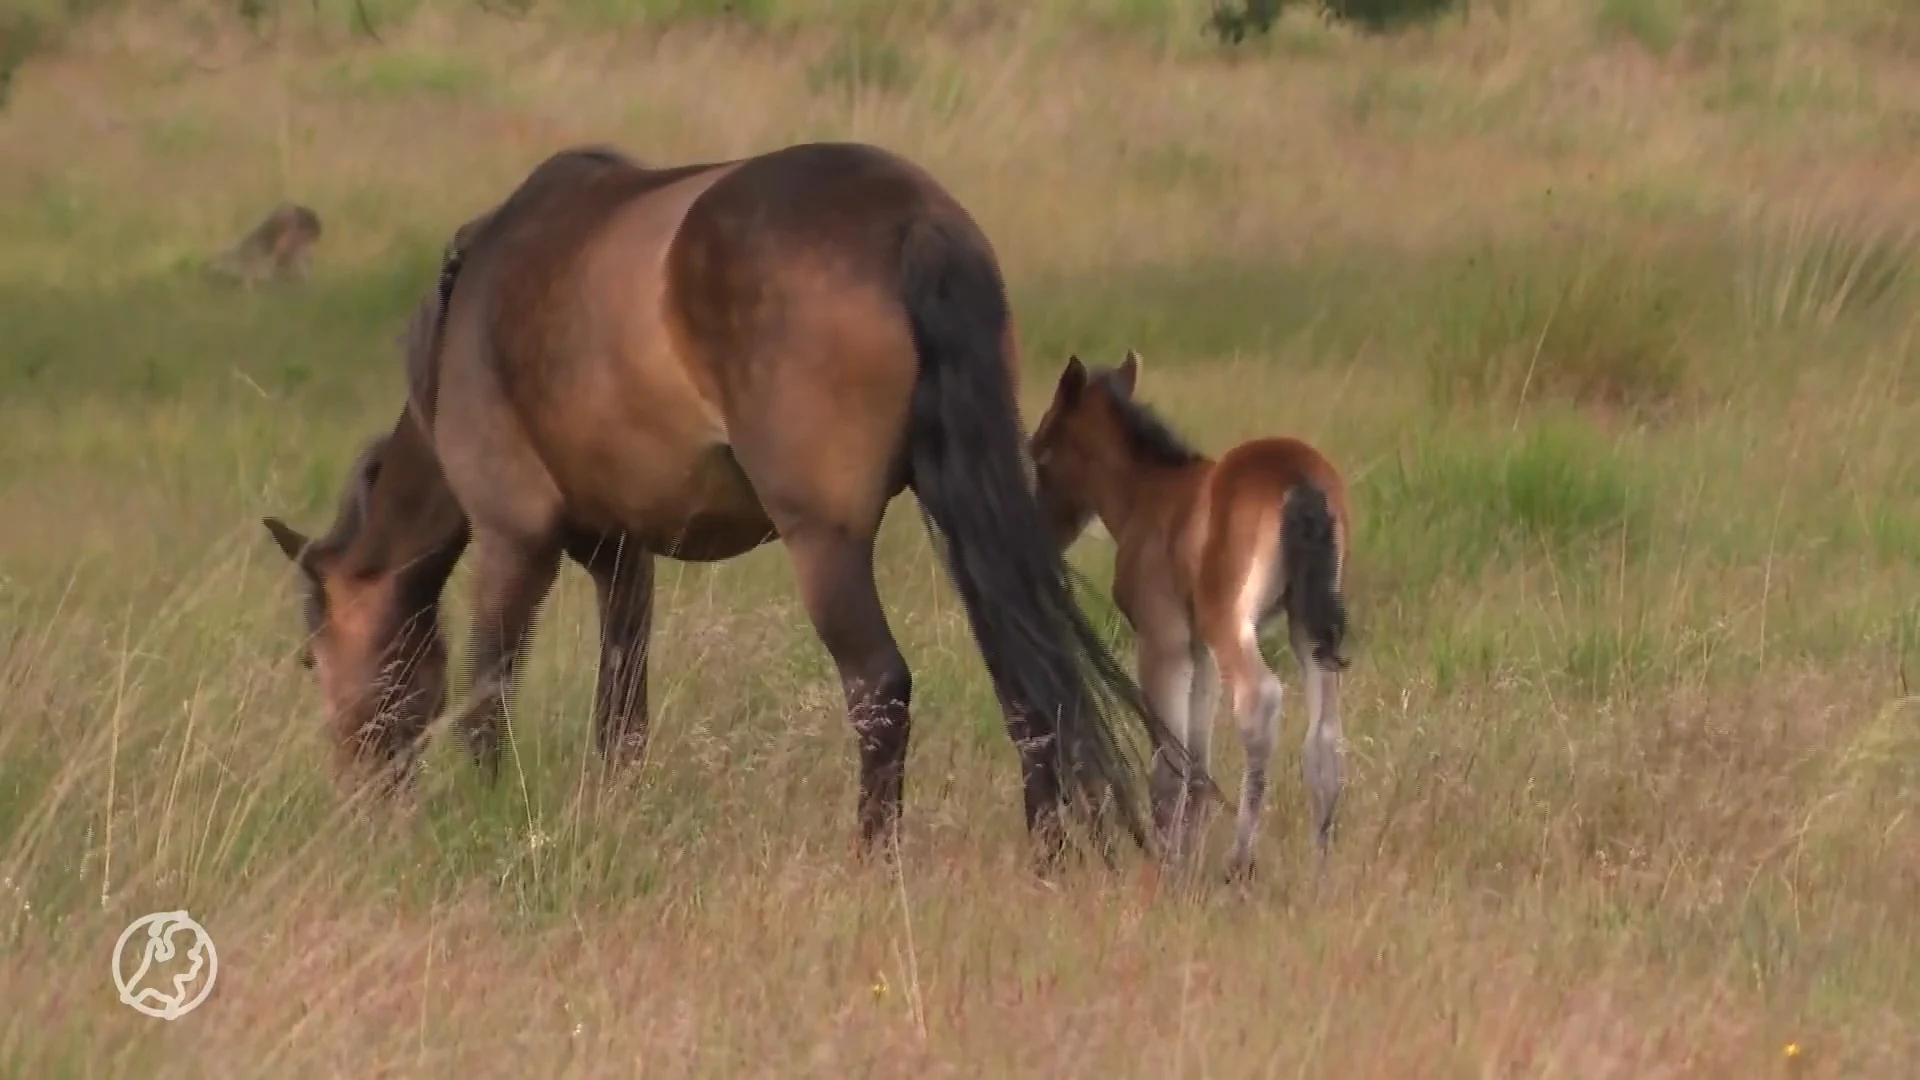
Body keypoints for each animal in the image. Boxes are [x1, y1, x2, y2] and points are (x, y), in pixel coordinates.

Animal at [259, 141, 1211, 870]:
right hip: (967, 514)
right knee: (1025, 673)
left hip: (825, 544)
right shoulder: (623, 556)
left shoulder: (512, 540)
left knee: (881, 689)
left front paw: (485, 821)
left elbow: (487, 698)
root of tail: (914, 220)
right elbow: (622, 715)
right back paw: (1047, 851)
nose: (360, 796)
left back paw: (876, 861)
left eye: (313, 656)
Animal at [1027, 349, 1352, 881]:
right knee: (1324, 738)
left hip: (1231, 621)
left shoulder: (1164, 638)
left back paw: (1239, 863)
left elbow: (1168, 760)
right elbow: (1196, 758)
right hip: (1307, 625)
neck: (1149, 494)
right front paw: (1185, 855)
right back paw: (1320, 871)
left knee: (1260, 701)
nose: (1043, 531)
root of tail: (1300, 482)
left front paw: (1167, 864)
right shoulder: (1198, 647)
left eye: (1040, 452)